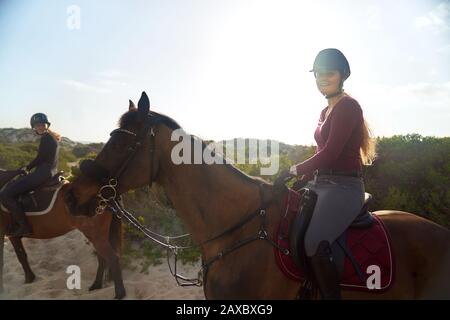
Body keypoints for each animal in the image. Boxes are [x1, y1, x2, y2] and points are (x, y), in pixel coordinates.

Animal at [0, 169, 126, 298]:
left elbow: (7, 260)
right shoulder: (13, 237)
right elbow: (22, 256)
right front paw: (30, 279)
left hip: (95, 235)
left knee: (112, 258)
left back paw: (119, 294)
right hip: (98, 235)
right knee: (102, 258)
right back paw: (96, 286)